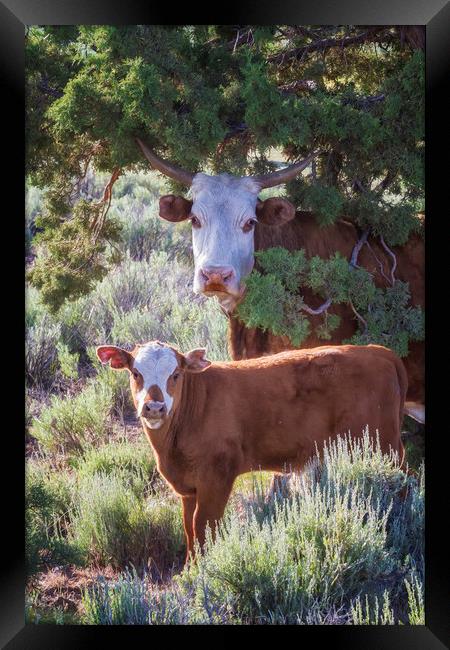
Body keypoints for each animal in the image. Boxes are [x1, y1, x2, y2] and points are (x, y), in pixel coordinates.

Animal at [97, 336, 408, 560]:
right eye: (135, 373)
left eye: (175, 374)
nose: (154, 407)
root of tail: (378, 352)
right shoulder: (187, 486)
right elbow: (188, 528)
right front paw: (189, 569)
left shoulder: (218, 476)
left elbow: (204, 526)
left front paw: (202, 573)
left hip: (383, 445)